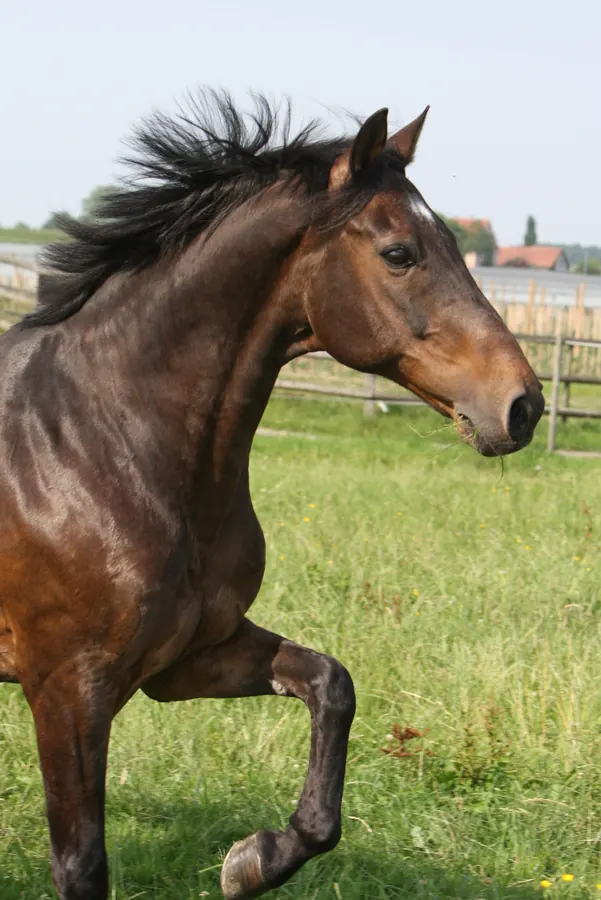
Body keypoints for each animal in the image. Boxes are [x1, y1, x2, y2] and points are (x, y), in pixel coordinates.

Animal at [0, 92, 544, 899]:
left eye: (453, 239)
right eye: (399, 253)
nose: (522, 406)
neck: (96, 447)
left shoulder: (188, 659)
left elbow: (331, 685)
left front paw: (254, 859)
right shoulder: (67, 688)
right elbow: (82, 865)